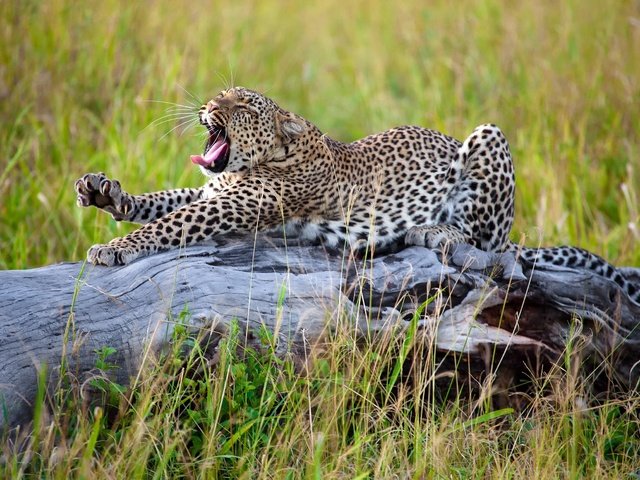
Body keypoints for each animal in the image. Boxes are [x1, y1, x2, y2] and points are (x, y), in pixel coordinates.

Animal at [76, 86, 640, 304]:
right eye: (222, 96)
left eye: (243, 106)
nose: (209, 106)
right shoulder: (217, 189)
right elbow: (164, 200)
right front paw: (107, 194)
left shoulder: (235, 202)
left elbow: (170, 222)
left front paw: (113, 249)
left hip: (488, 137)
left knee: (490, 242)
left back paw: (432, 229)